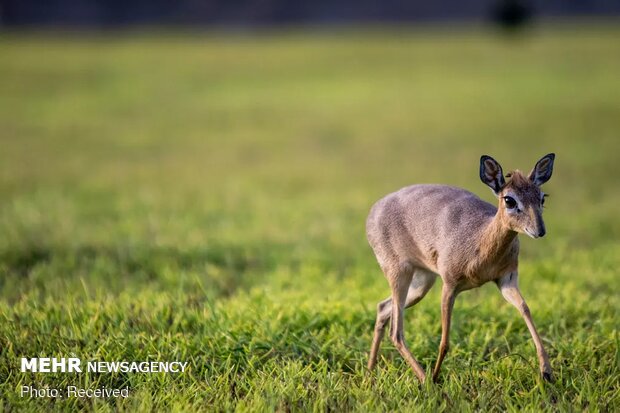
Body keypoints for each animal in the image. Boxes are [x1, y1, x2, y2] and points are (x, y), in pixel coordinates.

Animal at [366, 153, 556, 382]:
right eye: (509, 199)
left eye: (542, 197)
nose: (540, 230)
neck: (480, 241)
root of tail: (373, 211)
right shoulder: (449, 285)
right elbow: (445, 341)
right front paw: (436, 375)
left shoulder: (507, 280)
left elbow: (525, 309)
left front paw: (546, 371)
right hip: (398, 273)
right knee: (396, 331)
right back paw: (426, 381)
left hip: (422, 282)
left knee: (383, 308)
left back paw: (369, 372)